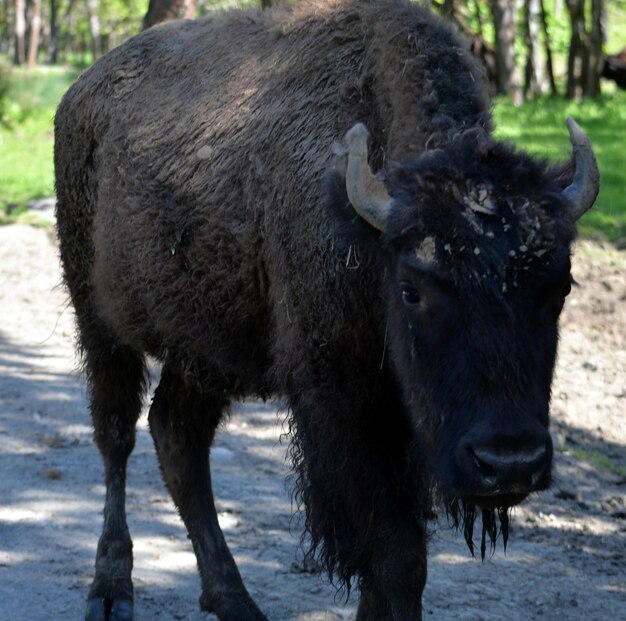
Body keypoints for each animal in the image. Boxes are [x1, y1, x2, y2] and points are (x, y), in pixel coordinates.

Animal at [54, 1, 600, 620]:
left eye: (561, 287)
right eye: (412, 290)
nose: (508, 462)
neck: (368, 230)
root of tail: (80, 93)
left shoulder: (406, 422)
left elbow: (397, 561)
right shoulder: (340, 404)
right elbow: (396, 556)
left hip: (204, 348)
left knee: (177, 435)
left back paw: (233, 599)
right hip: (98, 320)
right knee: (115, 437)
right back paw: (111, 590)